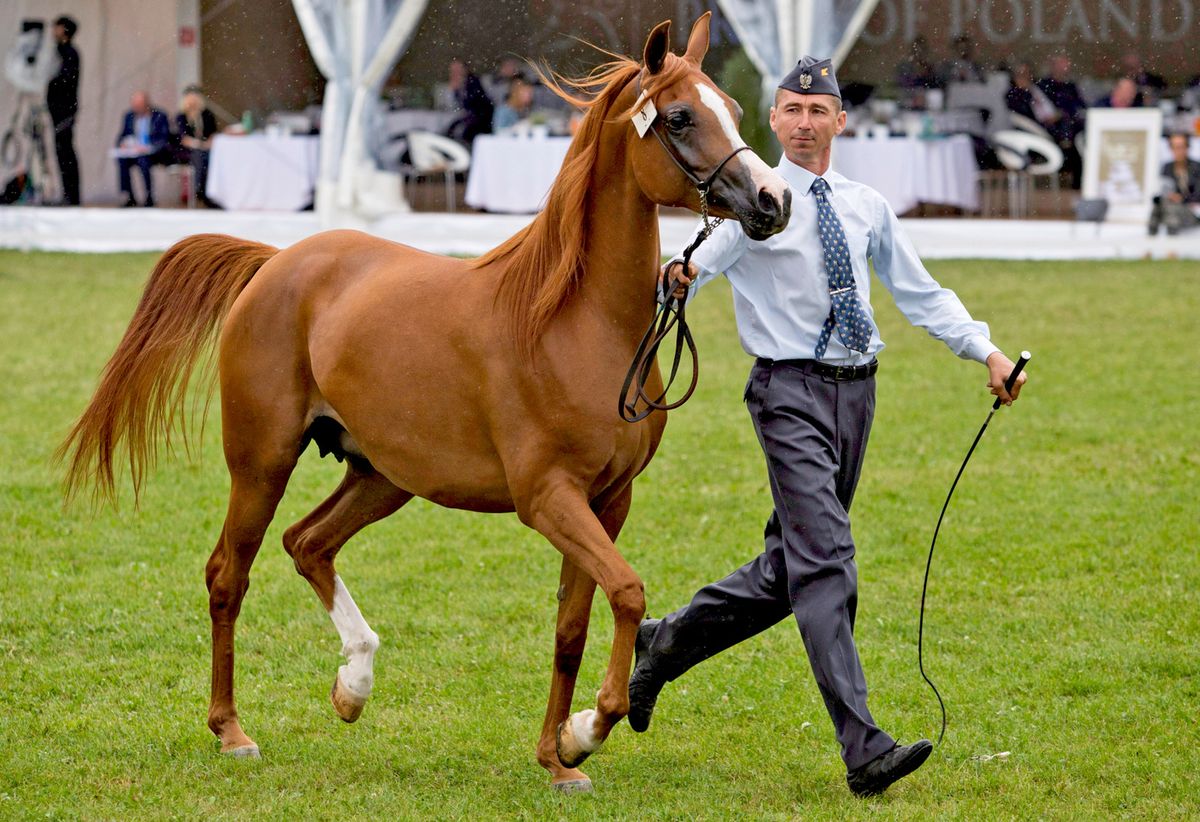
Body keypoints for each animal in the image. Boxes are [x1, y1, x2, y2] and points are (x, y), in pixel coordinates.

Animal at [58, 14, 787, 787]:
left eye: (731, 109)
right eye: (678, 117)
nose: (773, 200)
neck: (574, 322)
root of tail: (275, 262)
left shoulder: (607, 502)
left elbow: (573, 626)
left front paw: (556, 756)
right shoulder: (548, 498)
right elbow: (628, 592)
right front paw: (586, 731)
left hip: (381, 476)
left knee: (307, 543)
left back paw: (353, 685)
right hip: (262, 463)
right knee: (230, 574)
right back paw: (232, 730)